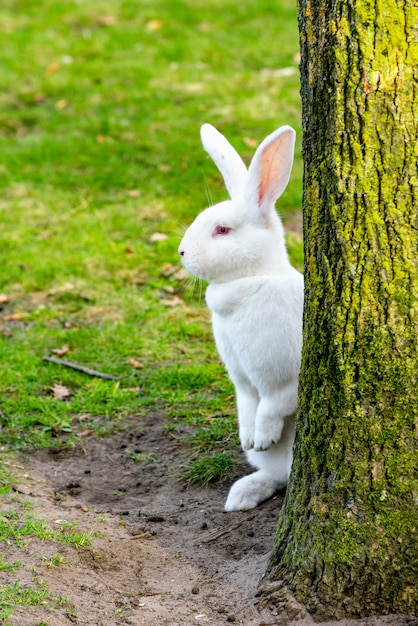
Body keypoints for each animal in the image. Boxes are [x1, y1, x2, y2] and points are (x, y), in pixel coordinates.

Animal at [178, 124, 302, 510]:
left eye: (222, 230)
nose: (182, 252)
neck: (251, 280)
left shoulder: (286, 378)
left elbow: (273, 406)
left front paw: (262, 438)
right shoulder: (242, 381)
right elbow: (247, 405)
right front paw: (248, 439)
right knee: (279, 478)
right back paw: (242, 495)